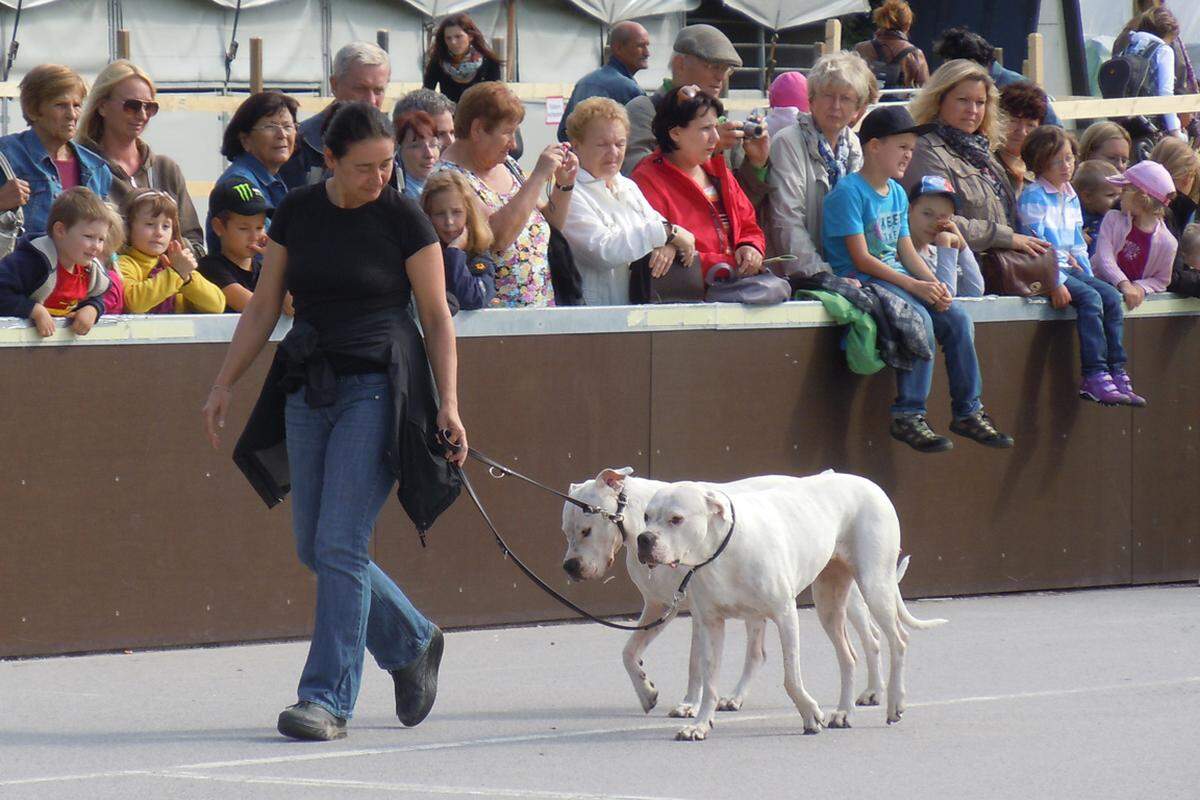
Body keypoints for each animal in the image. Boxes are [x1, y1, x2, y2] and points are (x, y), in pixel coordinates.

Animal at [561, 470, 892, 719]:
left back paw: (874, 691)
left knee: (873, 637)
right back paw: (735, 696)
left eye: (587, 530)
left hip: (850, 592)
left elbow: (695, 663)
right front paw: (646, 692)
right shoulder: (659, 606)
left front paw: (689, 704)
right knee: (757, 653)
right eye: (566, 531)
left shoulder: (694, 611)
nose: (569, 566)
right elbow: (629, 652)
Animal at [638, 472, 945, 743]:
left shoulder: (785, 615)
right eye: (646, 517)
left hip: (874, 585)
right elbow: (710, 681)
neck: (724, 551)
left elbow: (790, 677)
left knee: (898, 640)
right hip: (829, 603)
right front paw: (700, 724)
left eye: (676, 519)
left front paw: (810, 715)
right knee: (849, 656)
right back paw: (844, 712)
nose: (644, 539)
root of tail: (871, 484)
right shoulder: (711, 624)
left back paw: (895, 703)